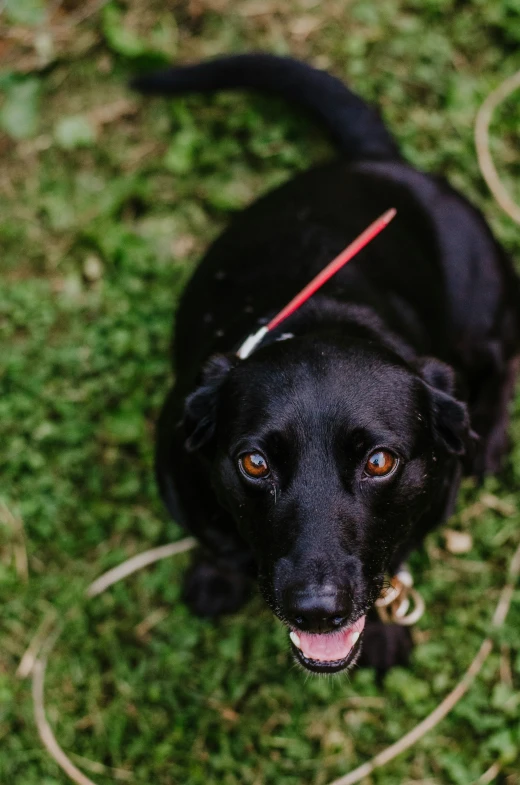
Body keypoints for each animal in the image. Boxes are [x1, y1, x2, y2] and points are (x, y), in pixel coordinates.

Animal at [131, 53, 520, 672]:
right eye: (254, 463)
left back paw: (490, 437)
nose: (316, 610)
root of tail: (377, 159)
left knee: (508, 353)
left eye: (381, 462)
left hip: (481, 311)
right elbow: (212, 543)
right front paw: (215, 578)